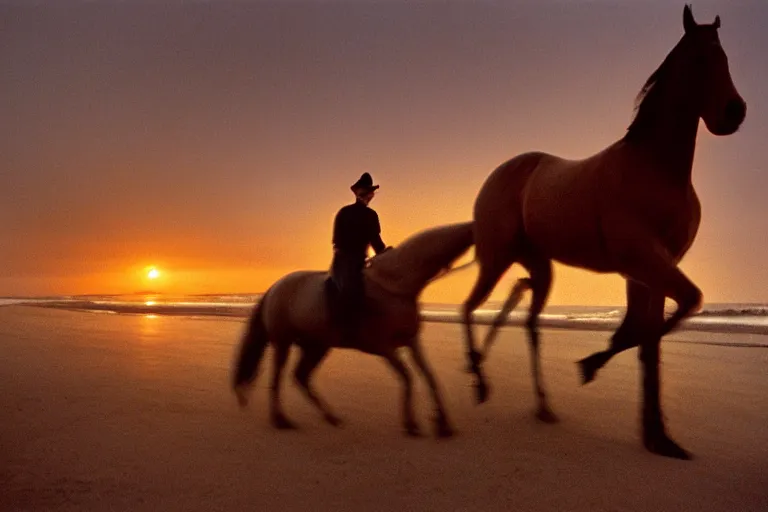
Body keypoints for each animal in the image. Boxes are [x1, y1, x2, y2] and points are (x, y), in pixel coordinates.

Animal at [231, 220, 476, 436]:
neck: (396, 284)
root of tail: (275, 287)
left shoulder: (411, 342)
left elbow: (429, 376)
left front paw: (443, 424)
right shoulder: (384, 347)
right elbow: (407, 377)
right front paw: (411, 424)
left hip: (317, 346)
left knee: (301, 376)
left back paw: (331, 417)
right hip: (283, 343)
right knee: (278, 376)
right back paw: (280, 420)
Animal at [460, 4, 748, 460]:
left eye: (725, 58)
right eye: (701, 58)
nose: (734, 112)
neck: (655, 169)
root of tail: (500, 173)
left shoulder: (650, 271)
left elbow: (647, 339)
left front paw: (658, 436)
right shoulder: (645, 261)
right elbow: (659, 323)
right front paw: (590, 367)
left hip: (539, 267)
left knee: (529, 323)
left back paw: (541, 406)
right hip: (496, 258)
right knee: (469, 308)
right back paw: (479, 381)